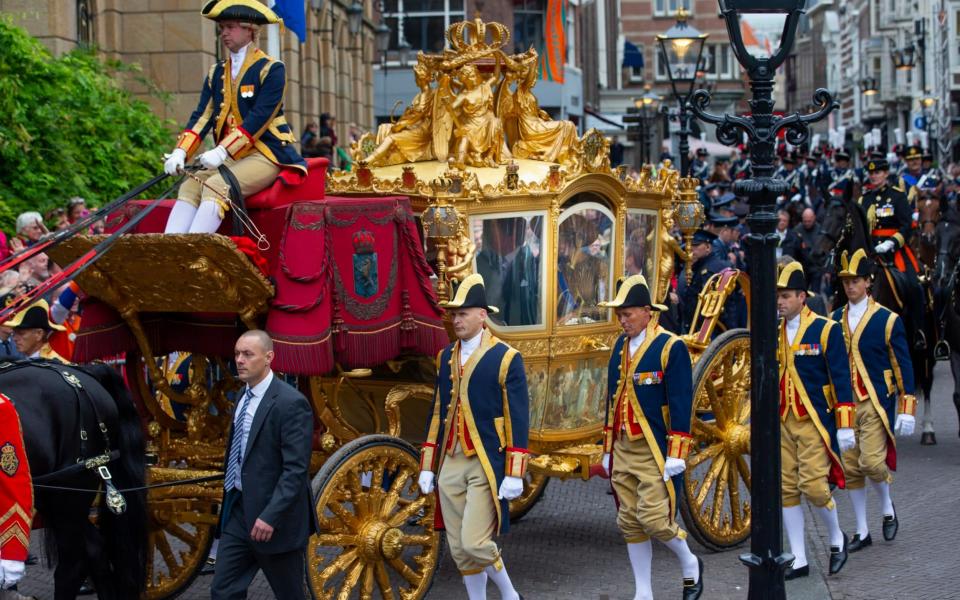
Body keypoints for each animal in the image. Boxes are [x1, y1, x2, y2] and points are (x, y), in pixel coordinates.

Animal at [816, 185, 936, 442]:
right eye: (822, 213)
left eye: (840, 216)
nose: (817, 253)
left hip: (927, 345)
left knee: (926, 380)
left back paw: (927, 429)